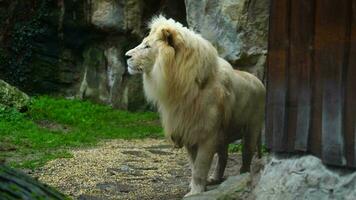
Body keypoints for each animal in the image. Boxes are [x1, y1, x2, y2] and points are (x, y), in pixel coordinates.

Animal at [125, 16, 264, 197]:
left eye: (147, 46)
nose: (126, 56)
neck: (179, 87)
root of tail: (259, 81)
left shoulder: (208, 134)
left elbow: (200, 166)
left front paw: (195, 192)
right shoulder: (188, 131)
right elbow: (193, 165)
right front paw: (198, 187)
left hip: (252, 129)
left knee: (247, 154)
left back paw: (242, 176)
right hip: (224, 135)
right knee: (223, 157)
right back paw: (215, 178)